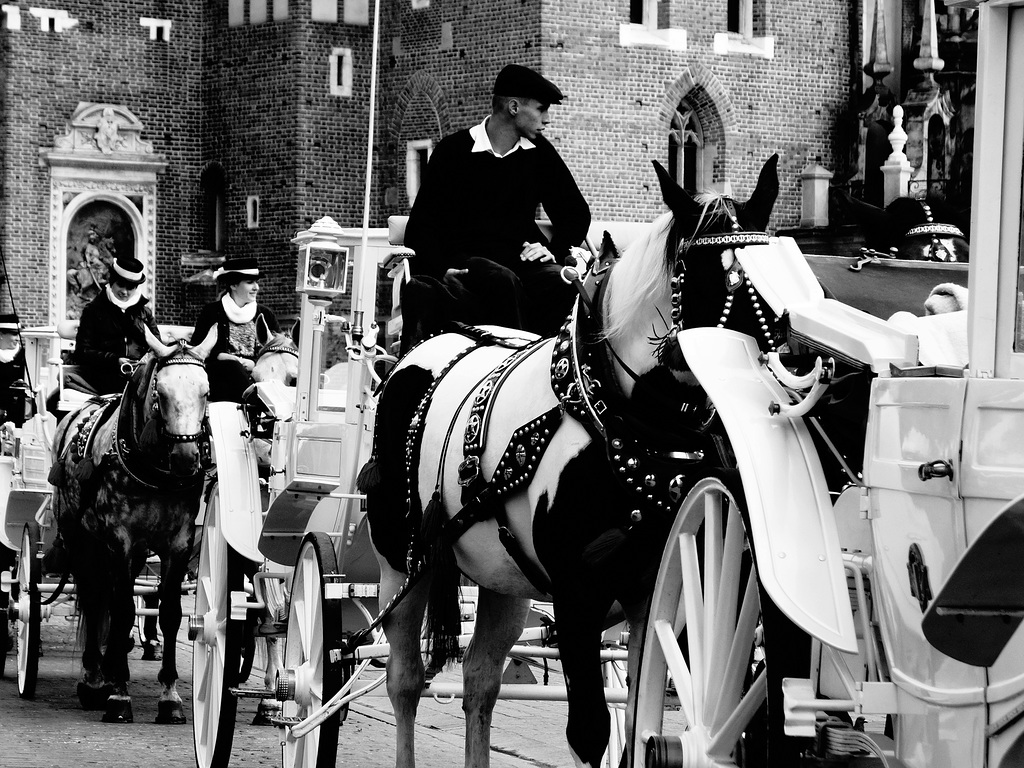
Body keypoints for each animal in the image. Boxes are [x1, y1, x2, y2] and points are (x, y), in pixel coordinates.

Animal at [49, 327, 216, 724]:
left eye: (206, 392)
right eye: (161, 393)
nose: (186, 459)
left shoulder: (178, 543)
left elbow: (169, 613)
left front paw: (169, 696)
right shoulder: (118, 540)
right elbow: (123, 610)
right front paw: (119, 696)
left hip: (133, 552)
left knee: (108, 597)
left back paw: (108, 671)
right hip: (81, 540)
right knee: (95, 597)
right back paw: (95, 679)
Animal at [360, 153, 806, 765]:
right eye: (710, 275)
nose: (775, 378)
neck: (624, 421)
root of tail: (430, 343)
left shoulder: (658, 594)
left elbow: (641, 718)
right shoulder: (577, 596)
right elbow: (590, 730)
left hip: (503, 579)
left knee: (480, 682)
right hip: (401, 563)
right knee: (404, 682)